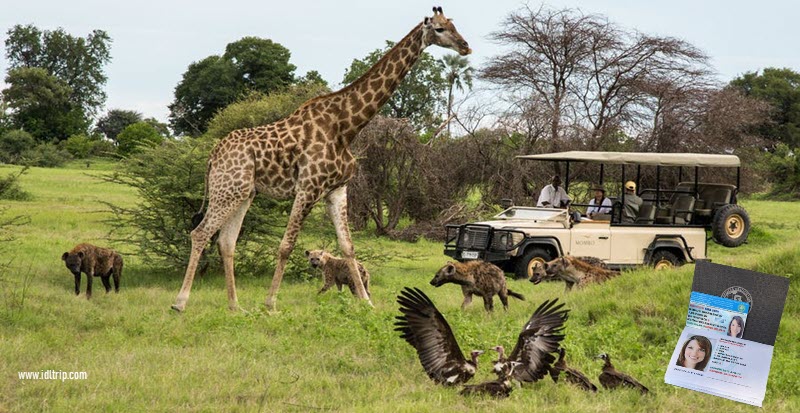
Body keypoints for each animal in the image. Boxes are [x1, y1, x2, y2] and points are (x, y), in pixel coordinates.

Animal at [169, 6, 468, 310]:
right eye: (440, 29)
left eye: (454, 25)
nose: (465, 47)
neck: (346, 127)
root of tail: (213, 156)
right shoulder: (308, 187)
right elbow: (286, 246)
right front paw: (271, 304)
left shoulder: (336, 189)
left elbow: (348, 246)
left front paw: (367, 303)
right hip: (227, 189)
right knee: (200, 233)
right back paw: (180, 302)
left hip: (243, 193)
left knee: (226, 242)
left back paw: (235, 307)